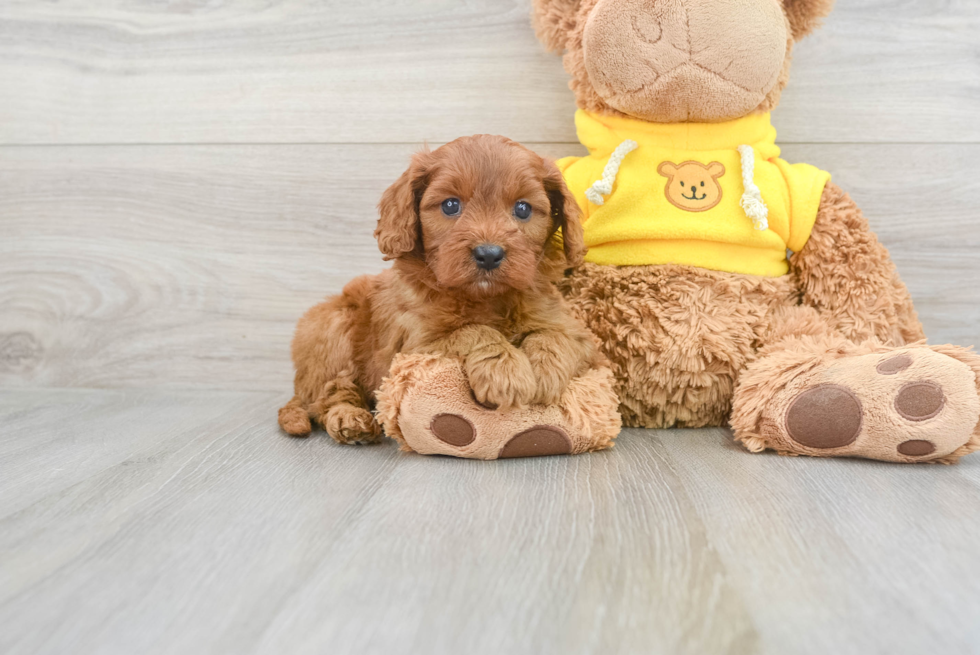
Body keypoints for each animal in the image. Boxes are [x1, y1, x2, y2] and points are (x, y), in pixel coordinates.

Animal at [276, 135, 596, 444]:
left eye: (523, 208)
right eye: (450, 205)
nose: (488, 254)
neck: (486, 298)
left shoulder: (580, 337)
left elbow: (554, 335)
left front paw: (545, 372)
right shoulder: (416, 345)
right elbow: (472, 331)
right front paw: (506, 372)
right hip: (333, 327)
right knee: (330, 394)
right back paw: (349, 419)